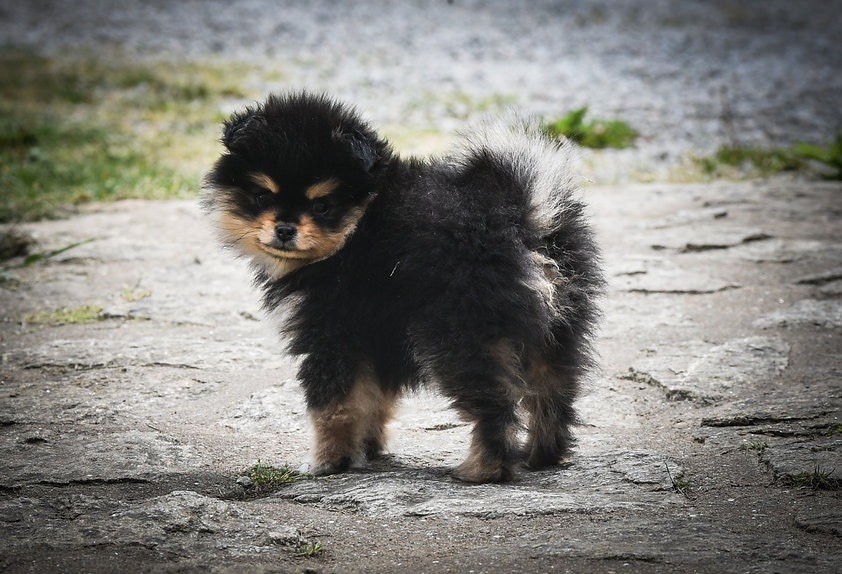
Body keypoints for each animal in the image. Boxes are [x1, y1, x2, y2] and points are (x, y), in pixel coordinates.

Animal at [203, 92, 603, 483]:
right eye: (262, 196)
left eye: (322, 205)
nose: (285, 229)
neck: (358, 226)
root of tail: (525, 218)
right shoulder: (376, 337)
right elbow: (372, 400)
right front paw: (368, 449)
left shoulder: (330, 333)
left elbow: (332, 407)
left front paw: (327, 462)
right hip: (557, 332)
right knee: (552, 392)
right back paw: (542, 456)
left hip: (459, 333)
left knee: (495, 402)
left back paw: (483, 470)